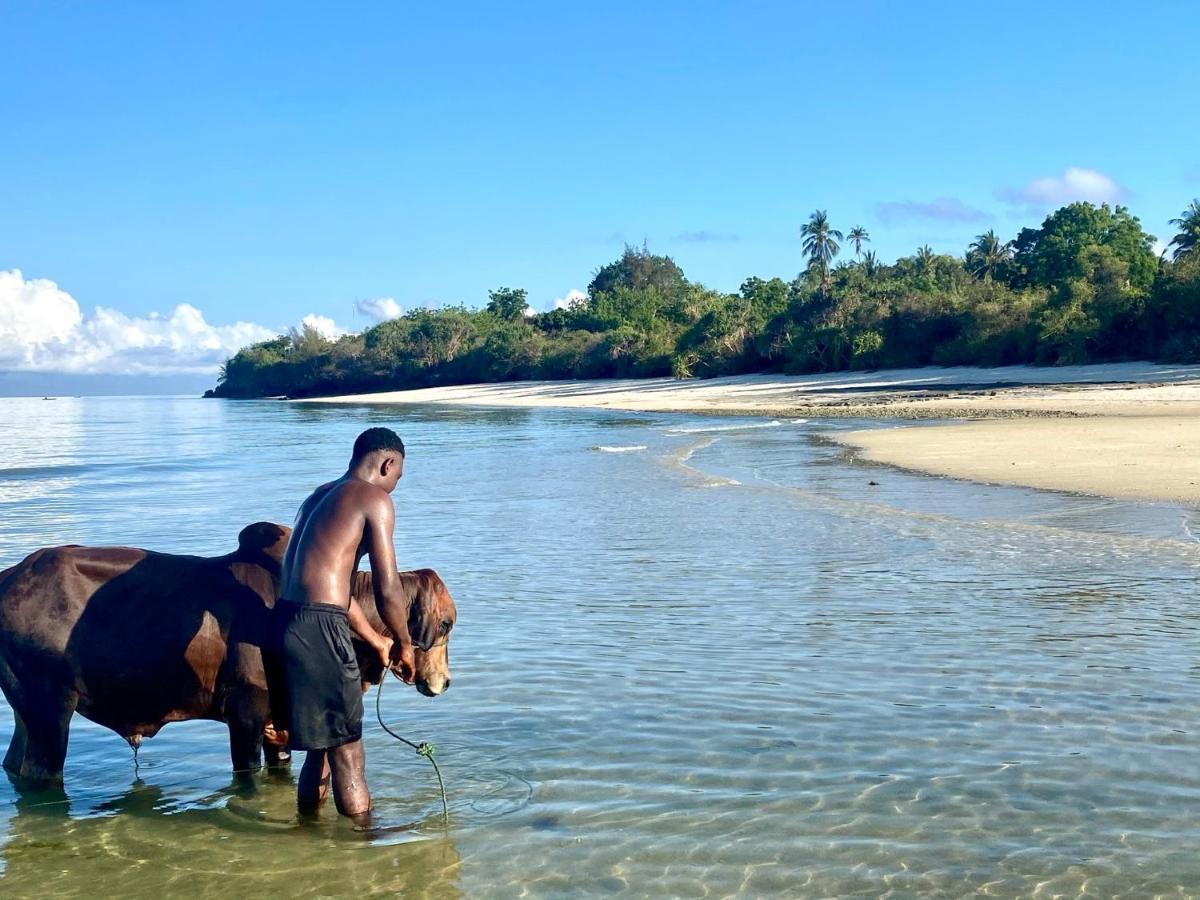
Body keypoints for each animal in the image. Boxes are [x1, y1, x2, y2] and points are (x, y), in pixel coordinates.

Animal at [0, 525, 453, 787]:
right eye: (446, 624)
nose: (444, 682)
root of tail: (11, 575)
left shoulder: (277, 725)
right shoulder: (245, 713)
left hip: (27, 714)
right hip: (50, 711)